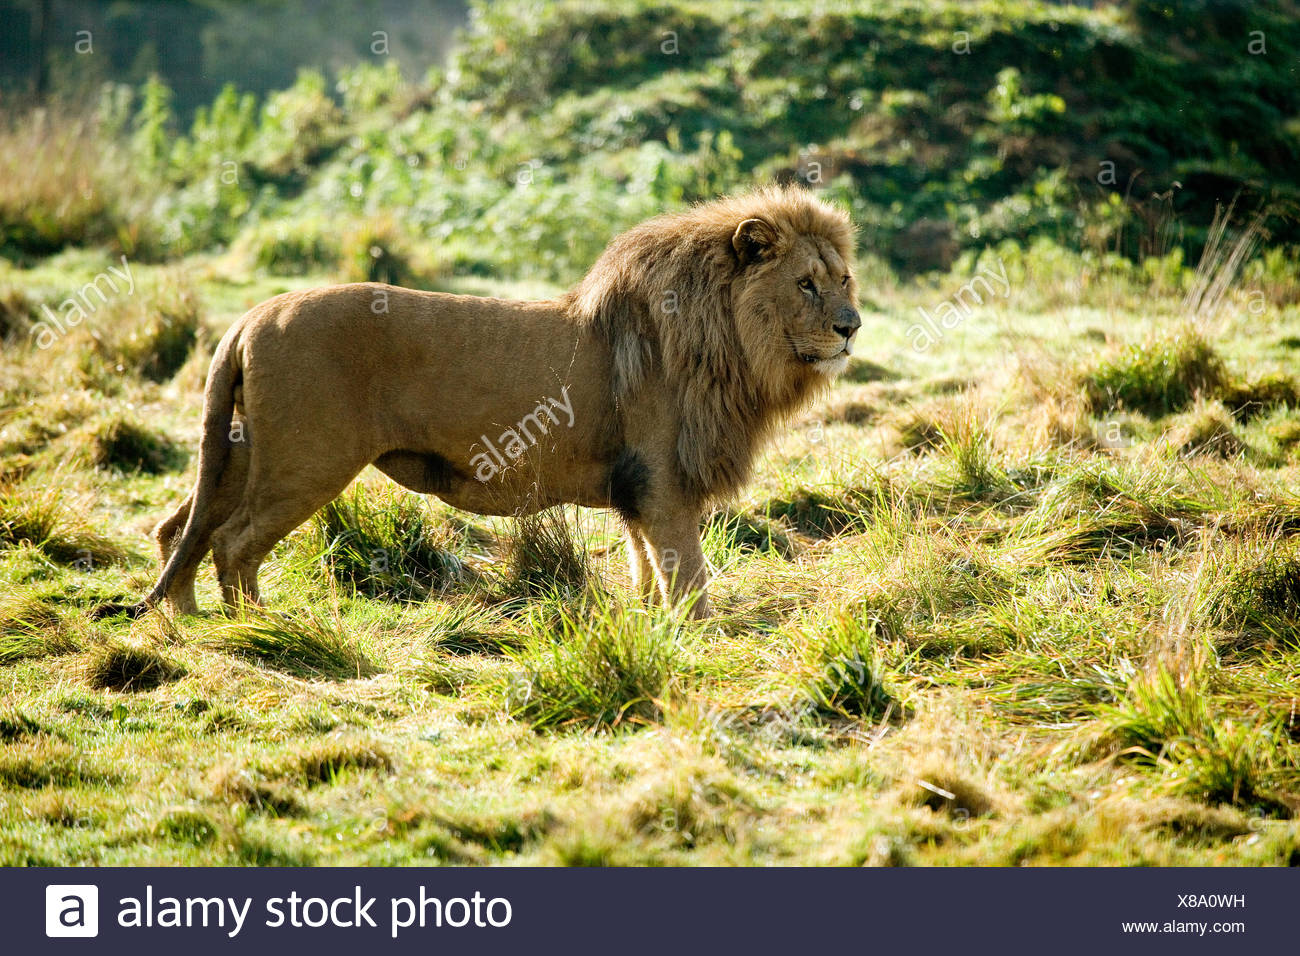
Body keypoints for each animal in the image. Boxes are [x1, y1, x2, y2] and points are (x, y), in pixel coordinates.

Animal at [112, 185, 860, 620]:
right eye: (806, 284)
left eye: (845, 279)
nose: (851, 326)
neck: (734, 345)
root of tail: (249, 317)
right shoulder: (664, 480)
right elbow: (688, 576)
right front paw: (697, 639)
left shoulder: (640, 486)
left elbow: (647, 565)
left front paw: (652, 628)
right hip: (305, 462)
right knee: (233, 542)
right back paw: (260, 630)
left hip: (238, 451)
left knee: (180, 529)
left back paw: (188, 619)